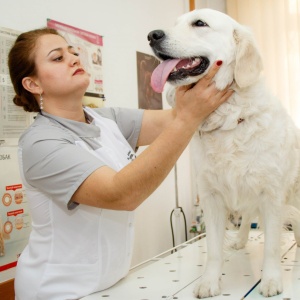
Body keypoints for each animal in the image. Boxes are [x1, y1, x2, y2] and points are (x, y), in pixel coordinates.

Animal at [148, 8, 300, 298]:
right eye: (174, 23)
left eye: (199, 23)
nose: (152, 35)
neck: (230, 120)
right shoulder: (211, 197)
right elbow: (213, 250)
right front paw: (209, 282)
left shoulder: (271, 194)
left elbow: (272, 246)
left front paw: (271, 280)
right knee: (247, 218)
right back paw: (240, 241)